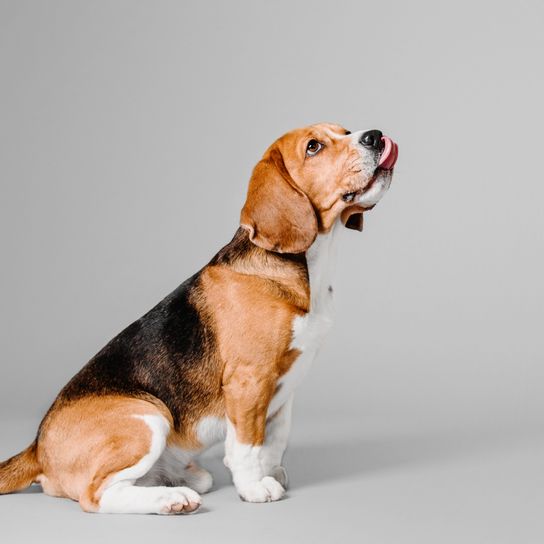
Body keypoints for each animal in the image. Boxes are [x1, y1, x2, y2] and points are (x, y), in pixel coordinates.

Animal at [0, 123, 400, 516]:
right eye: (313, 147)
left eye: (345, 131)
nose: (375, 136)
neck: (307, 265)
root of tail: (36, 448)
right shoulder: (249, 380)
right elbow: (247, 444)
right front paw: (254, 486)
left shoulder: (285, 390)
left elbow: (275, 439)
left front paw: (272, 473)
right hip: (149, 416)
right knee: (94, 496)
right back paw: (171, 500)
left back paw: (175, 482)